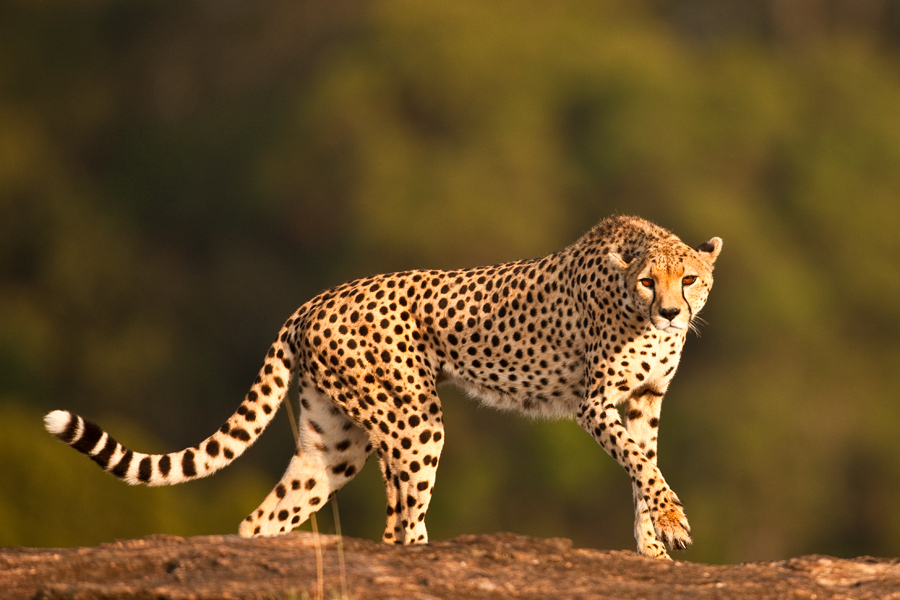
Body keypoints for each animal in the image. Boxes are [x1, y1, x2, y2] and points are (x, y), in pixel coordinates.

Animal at [44, 215, 722, 559]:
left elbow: (641, 465)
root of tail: (315, 300)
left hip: (335, 443)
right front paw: (672, 523)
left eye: (689, 279)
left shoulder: (645, 400)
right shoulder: (595, 402)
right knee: (399, 526)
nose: (670, 313)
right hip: (415, 421)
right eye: (648, 282)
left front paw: (654, 547)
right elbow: (641, 463)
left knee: (264, 518)